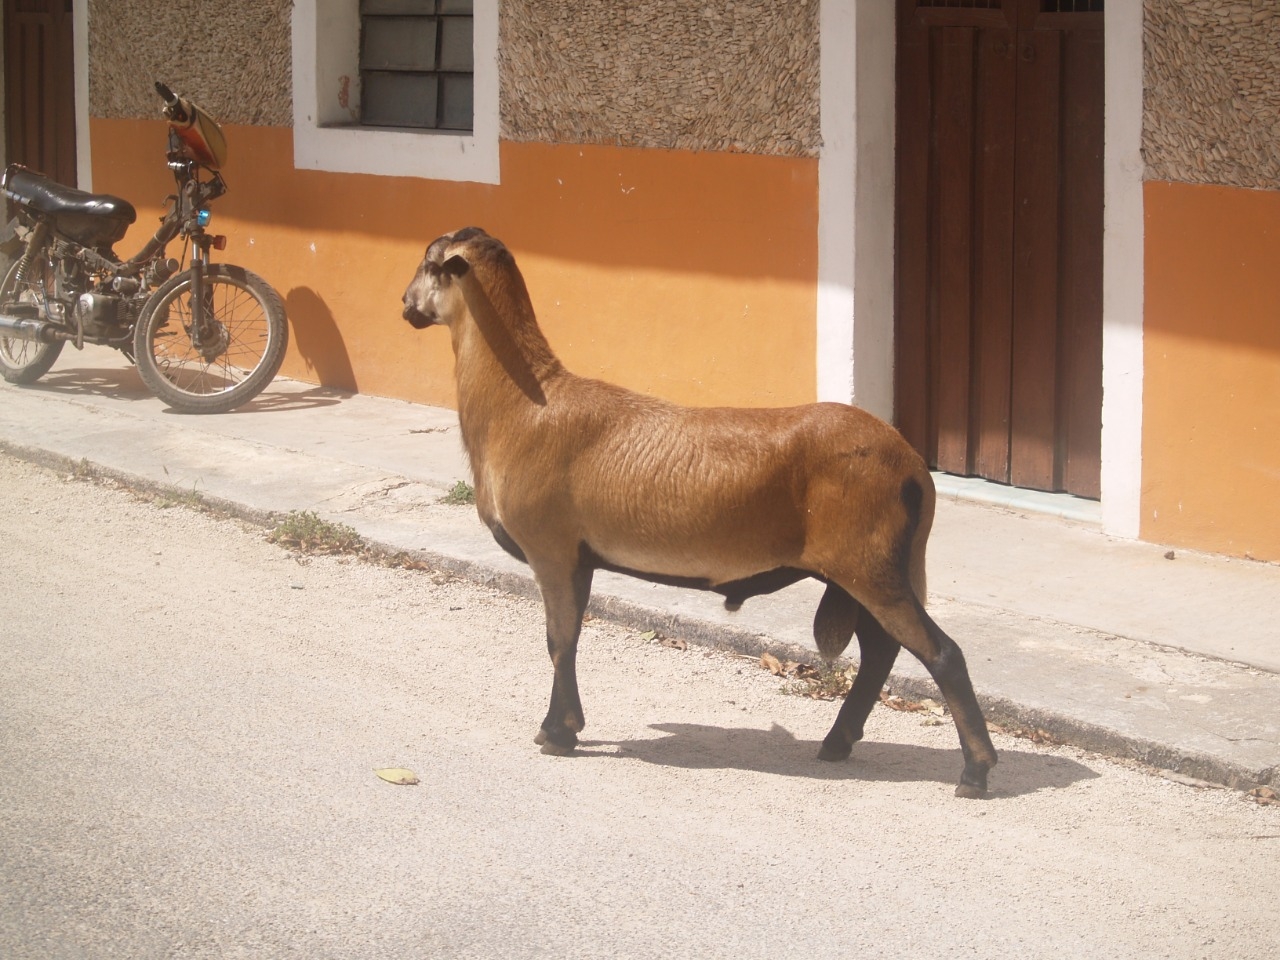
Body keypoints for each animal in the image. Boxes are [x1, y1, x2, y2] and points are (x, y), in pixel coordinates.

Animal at [404, 225, 993, 798]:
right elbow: (569, 637)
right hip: (874, 567)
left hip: (868, 563)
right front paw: (565, 727)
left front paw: (555, 733)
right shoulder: (579, 556)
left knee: (942, 654)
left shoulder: (551, 547)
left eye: (431, 264)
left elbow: (559, 640)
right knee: (881, 652)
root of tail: (914, 470)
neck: (522, 403)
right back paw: (837, 743)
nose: (405, 306)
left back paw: (975, 772)